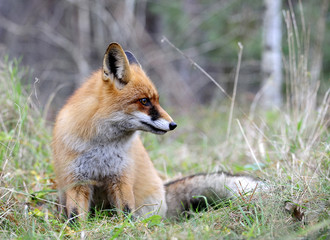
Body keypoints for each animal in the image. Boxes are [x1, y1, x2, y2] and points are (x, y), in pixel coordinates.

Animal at [52, 42, 262, 219]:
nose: (173, 124)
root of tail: (163, 189)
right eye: (144, 101)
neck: (102, 146)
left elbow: (126, 213)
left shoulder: (121, 178)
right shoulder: (76, 181)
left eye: (157, 100)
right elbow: (75, 218)